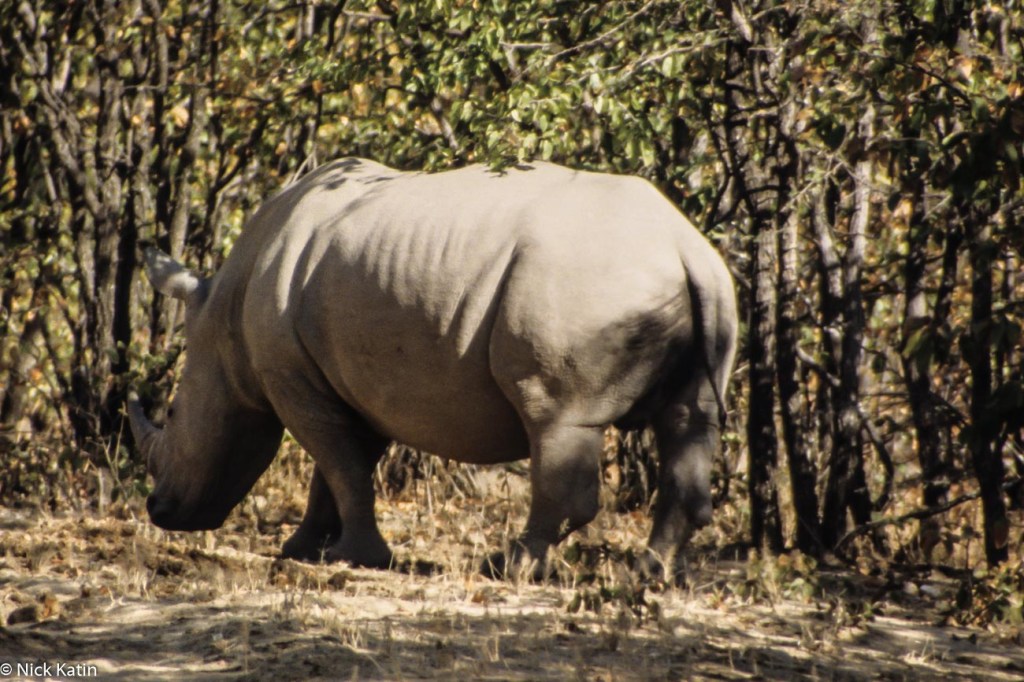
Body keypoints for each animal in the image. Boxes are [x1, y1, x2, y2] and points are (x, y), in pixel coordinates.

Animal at [127, 158, 738, 577]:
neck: (224, 315)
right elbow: (337, 468)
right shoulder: (349, 381)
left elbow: (340, 464)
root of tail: (685, 247)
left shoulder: (293, 378)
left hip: (585, 284)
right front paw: (304, 551)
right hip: (699, 288)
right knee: (690, 421)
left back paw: (508, 567)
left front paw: (357, 559)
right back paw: (649, 575)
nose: (159, 510)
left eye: (174, 413)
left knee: (556, 419)